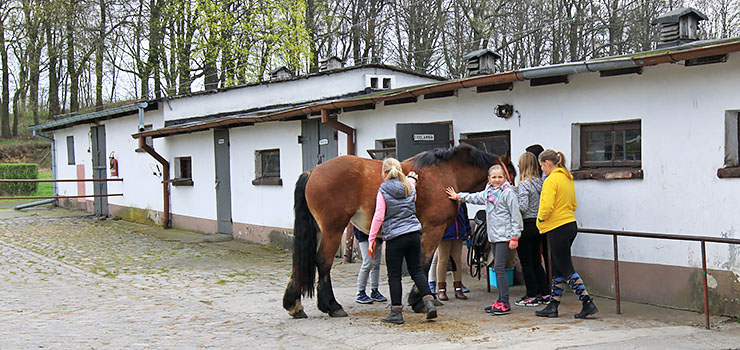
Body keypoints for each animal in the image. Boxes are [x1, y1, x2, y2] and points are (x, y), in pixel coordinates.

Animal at [284, 144, 516, 318]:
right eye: (511, 172)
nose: (512, 189)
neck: (446, 172)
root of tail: (312, 172)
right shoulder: (434, 229)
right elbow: (424, 262)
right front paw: (419, 301)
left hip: (319, 231)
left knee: (302, 260)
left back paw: (294, 305)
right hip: (333, 229)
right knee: (322, 261)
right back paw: (332, 306)